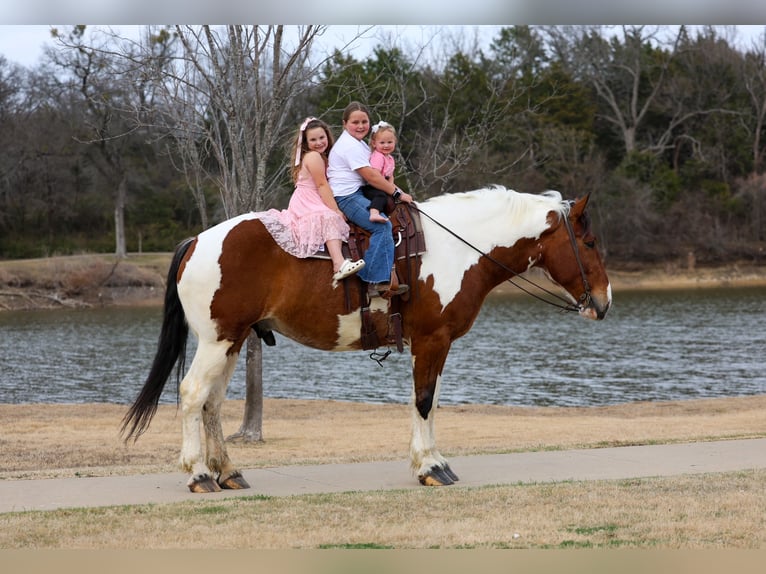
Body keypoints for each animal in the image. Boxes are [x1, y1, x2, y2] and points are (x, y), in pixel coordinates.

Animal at [121, 186, 612, 493]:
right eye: (588, 242)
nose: (604, 302)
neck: (457, 249)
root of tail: (197, 240)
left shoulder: (435, 345)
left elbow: (429, 401)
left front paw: (431, 461)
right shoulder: (432, 340)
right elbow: (424, 401)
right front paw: (431, 467)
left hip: (233, 341)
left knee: (212, 403)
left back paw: (227, 472)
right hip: (216, 340)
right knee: (191, 395)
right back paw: (199, 475)